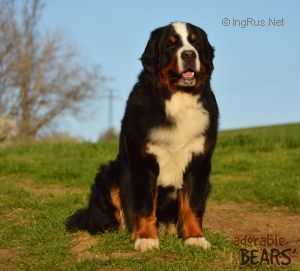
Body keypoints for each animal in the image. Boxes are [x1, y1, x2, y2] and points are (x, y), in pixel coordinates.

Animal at [67, 21, 219, 253]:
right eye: (171, 44)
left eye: (195, 42)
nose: (189, 54)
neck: (178, 99)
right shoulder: (144, 161)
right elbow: (145, 205)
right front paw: (146, 238)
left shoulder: (198, 161)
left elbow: (192, 205)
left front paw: (195, 237)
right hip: (109, 174)